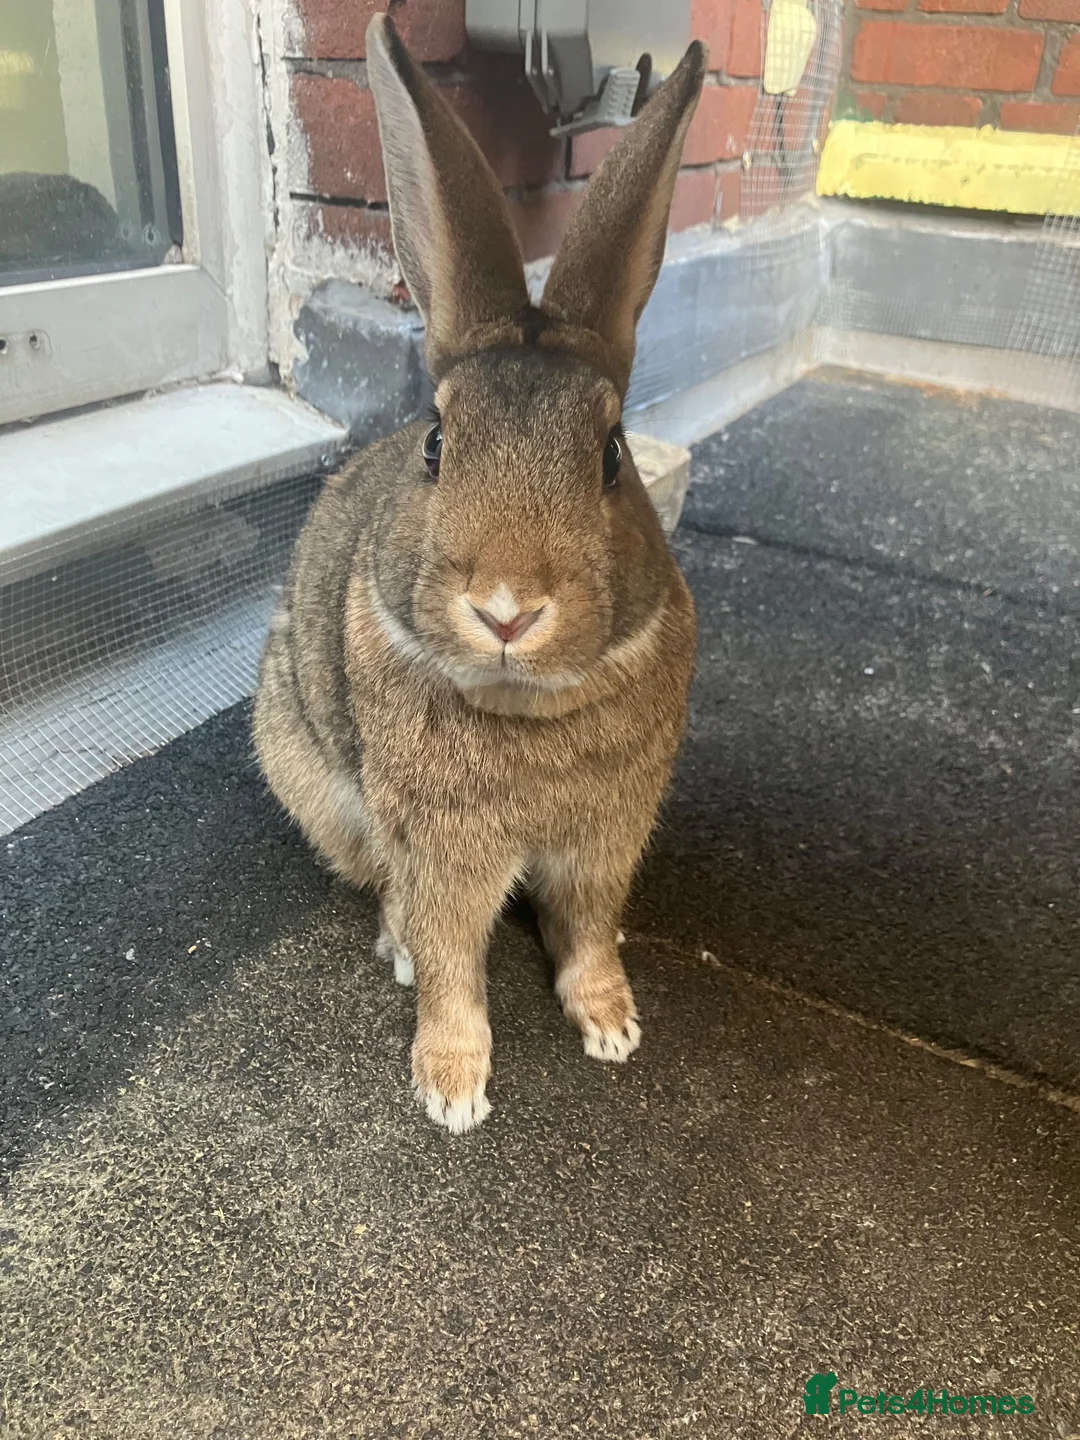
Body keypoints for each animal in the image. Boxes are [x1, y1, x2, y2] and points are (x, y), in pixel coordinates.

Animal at [253, 13, 706, 1133]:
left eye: (612, 455)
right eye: (435, 443)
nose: (506, 610)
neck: (526, 704)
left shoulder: (602, 842)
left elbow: (588, 932)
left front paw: (613, 1026)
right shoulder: (442, 850)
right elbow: (456, 958)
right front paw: (453, 1090)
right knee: (383, 893)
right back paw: (397, 954)